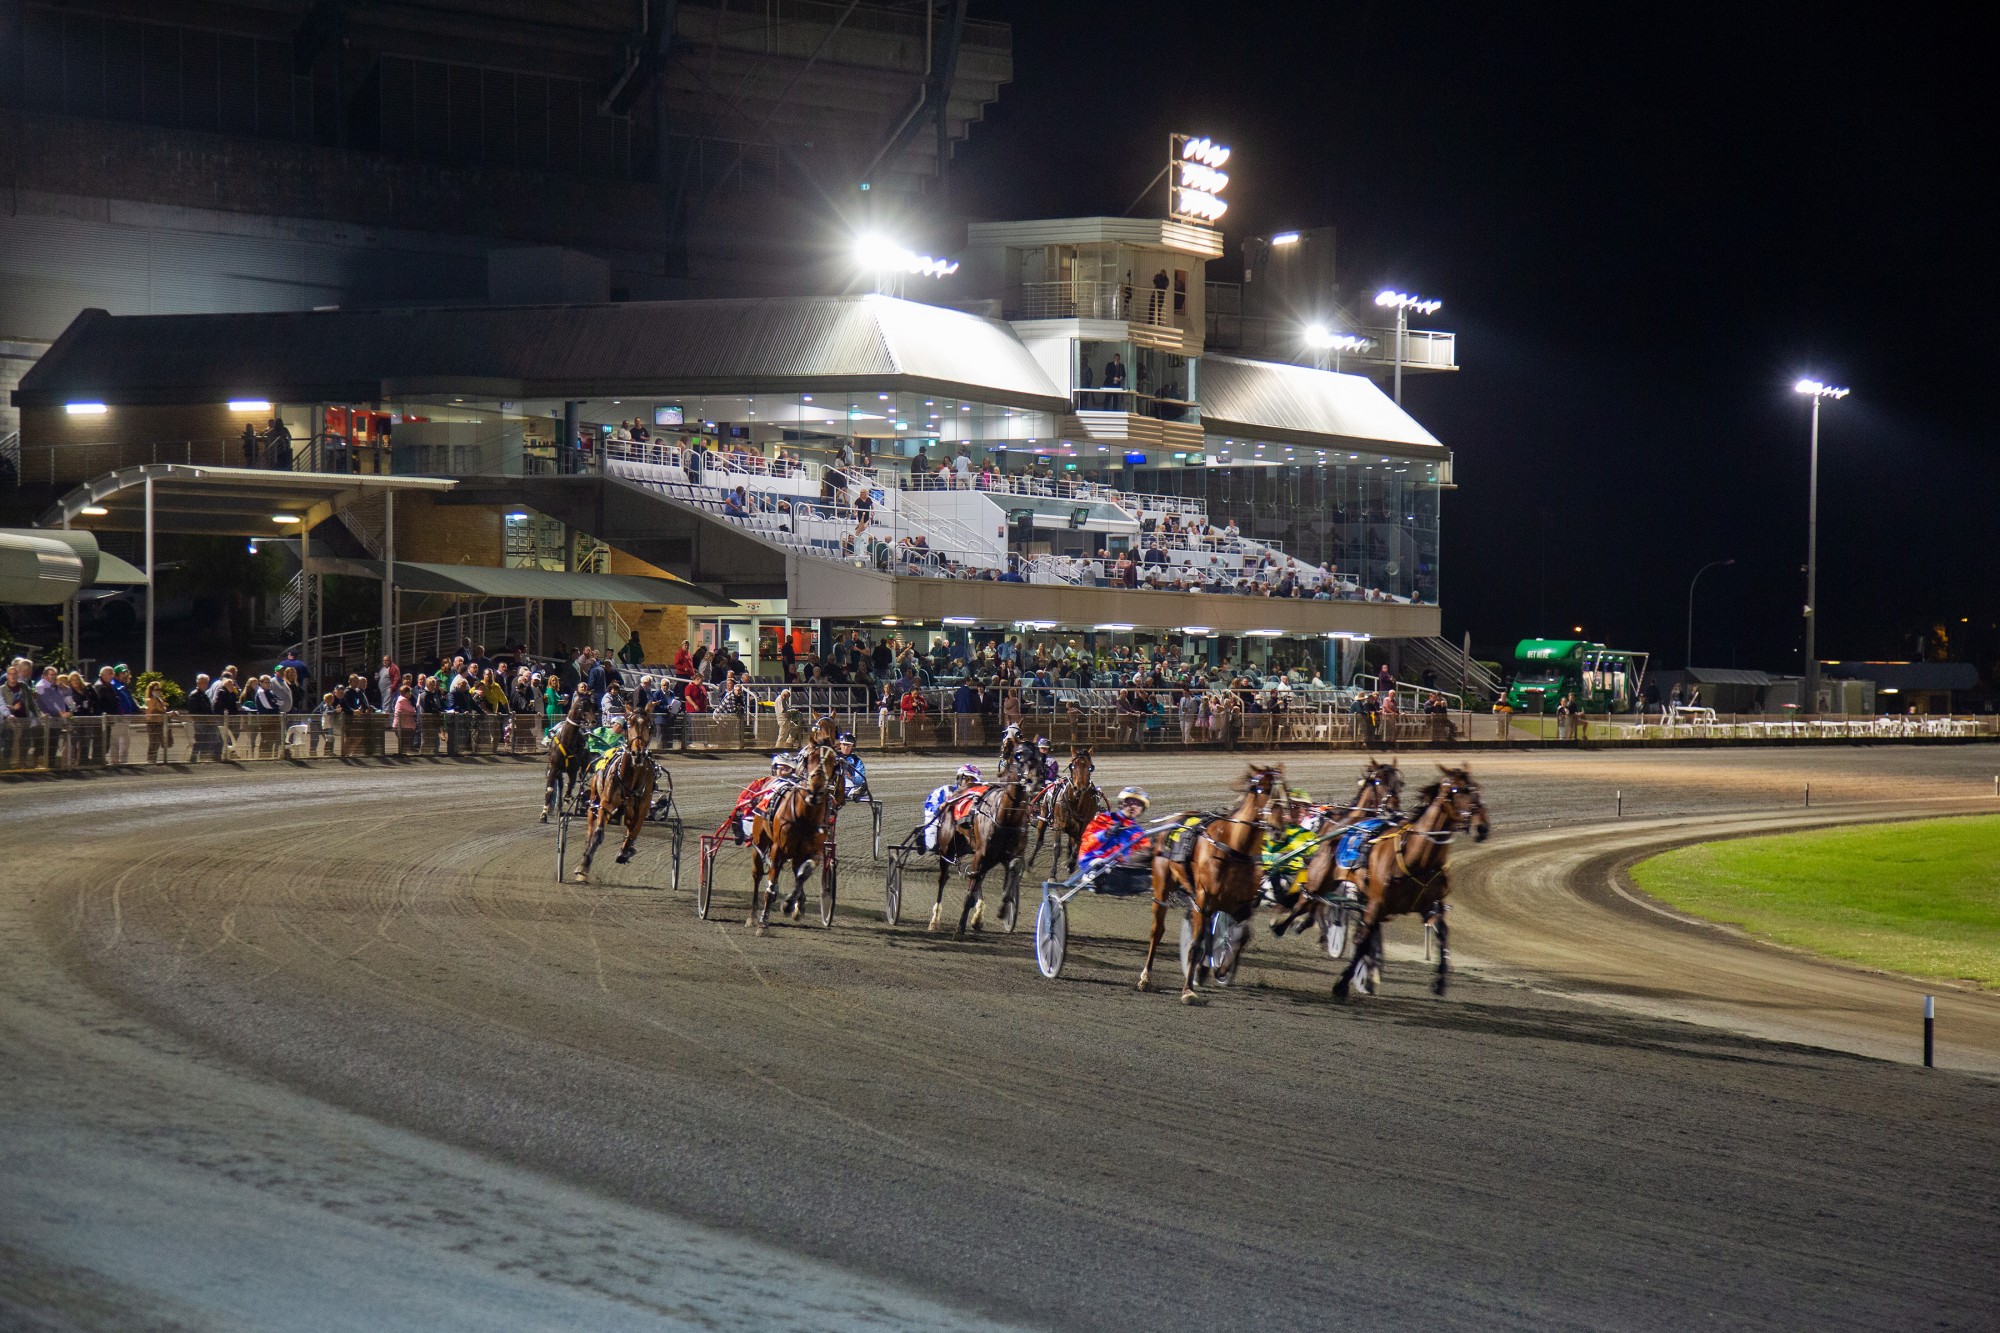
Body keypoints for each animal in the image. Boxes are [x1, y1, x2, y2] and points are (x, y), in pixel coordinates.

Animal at [576, 712, 660, 876]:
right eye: (629, 724)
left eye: (650, 726)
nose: (638, 753)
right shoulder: (606, 804)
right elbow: (598, 833)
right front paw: (584, 863)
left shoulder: (641, 809)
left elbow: (633, 832)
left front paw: (626, 851)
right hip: (594, 799)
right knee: (591, 824)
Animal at [752, 732, 844, 928]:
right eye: (809, 757)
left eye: (834, 762)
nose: (815, 789)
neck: (805, 817)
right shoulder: (777, 849)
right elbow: (772, 886)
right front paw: (764, 920)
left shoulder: (815, 851)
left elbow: (803, 873)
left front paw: (791, 904)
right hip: (759, 841)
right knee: (757, 874)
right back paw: (753, 915)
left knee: (796, 870)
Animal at [1032, 740, 1112, 876]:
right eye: (1072, 766)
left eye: (1090, 767)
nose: (1079, 788)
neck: (1075, 803)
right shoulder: (1059, 823)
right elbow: (1057, 847)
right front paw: (1052, 875)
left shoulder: (1083, 824)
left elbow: (1078, 843)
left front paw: (1071, 864)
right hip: (1043, 815)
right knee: (1039, 840)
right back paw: (1029, 864)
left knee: (1071, 842)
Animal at [1136, 756, 1288, 996]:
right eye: (1263, 789)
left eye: (1286, 790)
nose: (1278, 828)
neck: (1234, 849)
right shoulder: (1203, 898)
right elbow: (1196, 942)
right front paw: (1188, 990)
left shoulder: (1241, 904)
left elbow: (1242, 936)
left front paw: (1219, 969)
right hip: (1162, 886)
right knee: (1157, 930)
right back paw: (1146, 976)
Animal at [1336, 764, 1496, 992]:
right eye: (1456, 790)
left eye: (1476, 789)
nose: (1482, 826)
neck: (1415, 857)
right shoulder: (1375, 903)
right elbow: (1361, 938)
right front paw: (1343, 983)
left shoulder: (1429, 905)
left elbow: (1443, 933)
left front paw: (1440, 979)